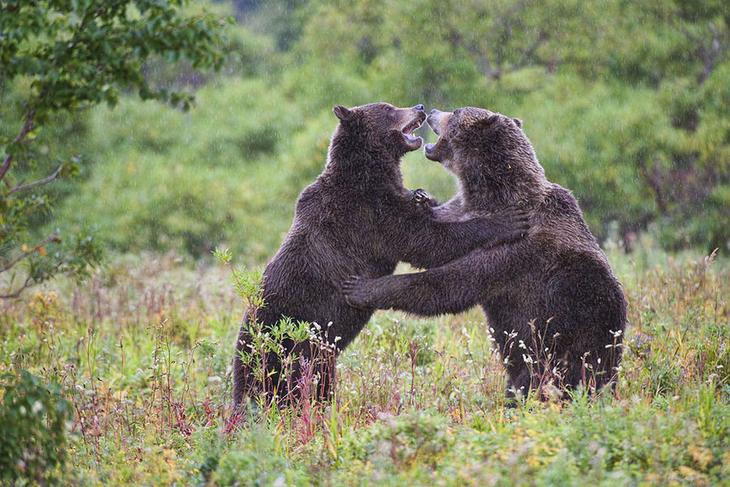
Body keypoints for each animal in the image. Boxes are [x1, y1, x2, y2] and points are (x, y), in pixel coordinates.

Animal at [230, 103, 528, 408]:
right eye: (389, 108)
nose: (420, 107)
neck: (370, 173)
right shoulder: (370, 214)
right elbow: (426, 241)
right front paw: (509, 220)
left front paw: (422, 196)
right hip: (292, 346)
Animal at [342, 107, 624, 400]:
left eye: (456, 112)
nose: (431, 111)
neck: (495, 197)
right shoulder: (463, 212)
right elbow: (439, 237)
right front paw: (421, 199)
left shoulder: (515, 253)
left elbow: (452, 283)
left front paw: (363, 288)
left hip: (568, 333)